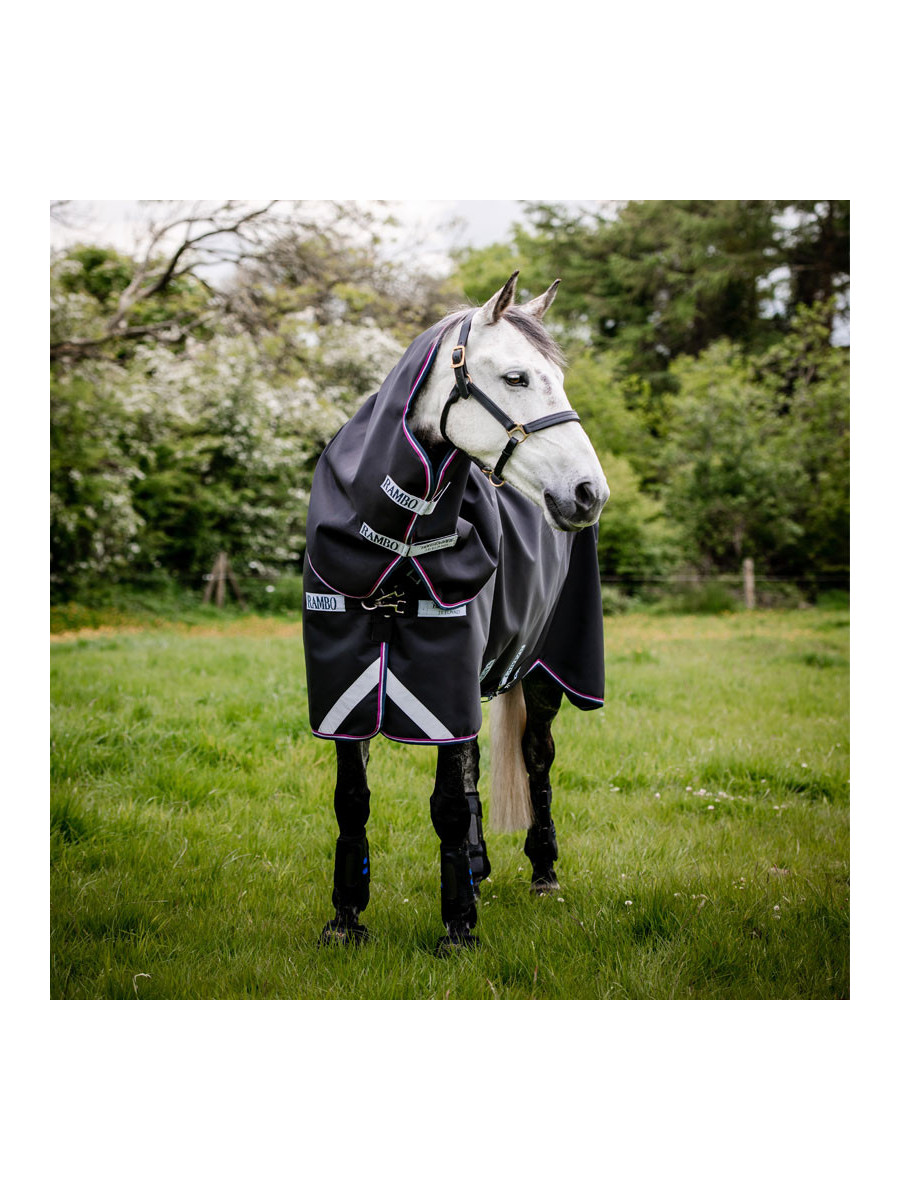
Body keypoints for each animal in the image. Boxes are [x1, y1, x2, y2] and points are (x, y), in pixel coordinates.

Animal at [302, 271, 609, 951]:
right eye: (517, 378)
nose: (588, 493)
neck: (393, 542)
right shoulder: (347, 686)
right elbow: (352, 797)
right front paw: (345, 919)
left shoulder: (444, 681)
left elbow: (446, 800)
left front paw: (458, 930)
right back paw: (475, 864)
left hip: (542, 673)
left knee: (537, 757)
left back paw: (542, 872)